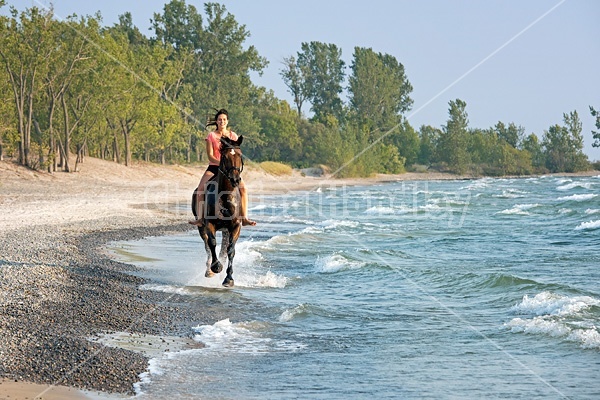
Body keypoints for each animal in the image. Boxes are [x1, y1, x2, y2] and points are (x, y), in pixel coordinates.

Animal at [195, 136, 246, 286]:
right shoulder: (209, 224)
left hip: (225, 230)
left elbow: (231, 250)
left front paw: (228, 278)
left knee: (223, 249)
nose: (235, 179)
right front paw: (216, 267)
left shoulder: (235, 226)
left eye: (240, 155)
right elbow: (212, 243)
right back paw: (209, 270)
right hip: (201, 227)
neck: (225, 196)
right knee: (207, 246)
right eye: (225, 156)